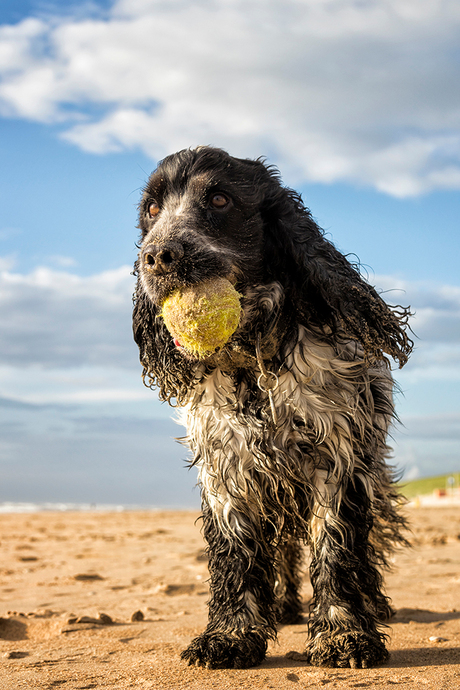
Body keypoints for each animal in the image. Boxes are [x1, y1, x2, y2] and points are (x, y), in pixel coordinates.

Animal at [131, 145, 412, 668]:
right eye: (152, 210)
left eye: (219, 199)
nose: (156, 257)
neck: (251, 360)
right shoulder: (228, 466)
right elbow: (236, 554)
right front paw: (230, 636)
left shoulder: (336, 456)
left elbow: (336, 547)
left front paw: (344, 633)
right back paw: (282, 606)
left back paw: (373, 603)